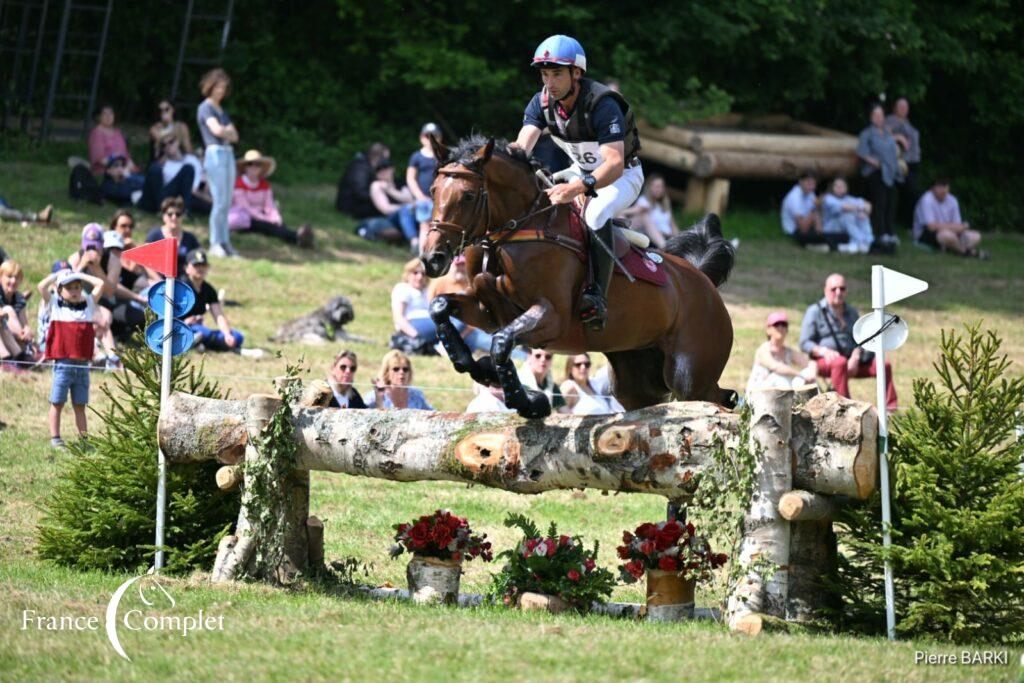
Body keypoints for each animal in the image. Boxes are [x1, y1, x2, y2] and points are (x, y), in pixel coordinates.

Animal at [419, 134, 733, 419]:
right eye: (433, 190)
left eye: (468, 196)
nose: (432, 259)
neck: (515, 229)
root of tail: (702, 280)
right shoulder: (488, 312)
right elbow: (440, 307)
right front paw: (474, 365)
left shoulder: (553, 317)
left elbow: (501, 343)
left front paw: (529, 403)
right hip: (637, 378)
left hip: (690, 374)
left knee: (715, 397)